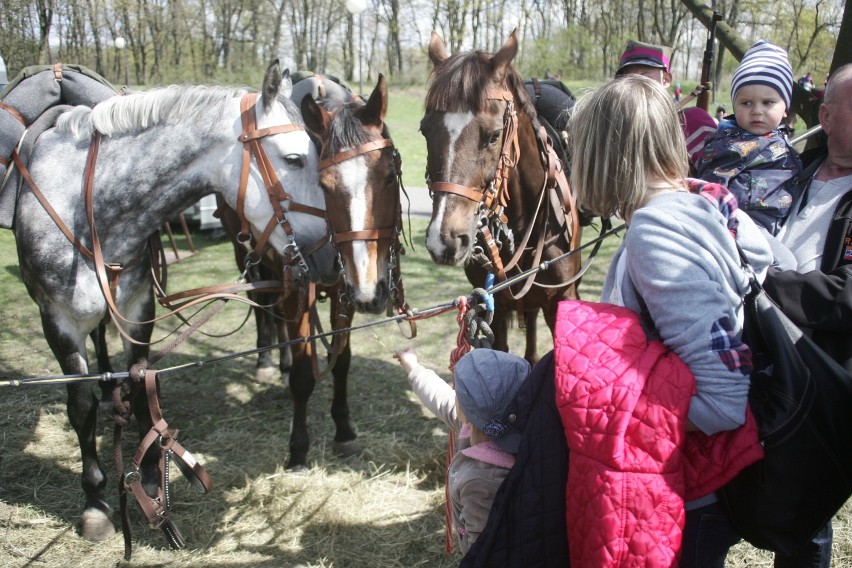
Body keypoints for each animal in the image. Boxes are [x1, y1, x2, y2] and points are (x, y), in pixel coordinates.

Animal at [10, 61, 336, 540]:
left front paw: (149, 475)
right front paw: (95, 503)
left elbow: (141, 383)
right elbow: (80, 408)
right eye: (293, 159)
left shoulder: (137, 308)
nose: (331, 257)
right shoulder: (58, 323)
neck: (89, 205)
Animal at [218, 73, 408, 468]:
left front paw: (344, 428)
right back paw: (266, 360)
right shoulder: (298, 284)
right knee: (265, 309)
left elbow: (341, 359)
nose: (372, 292)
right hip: (248, 259)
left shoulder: (344, 291)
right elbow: (305, 374)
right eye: (324, 185)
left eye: (390, 175)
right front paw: (298, 448)